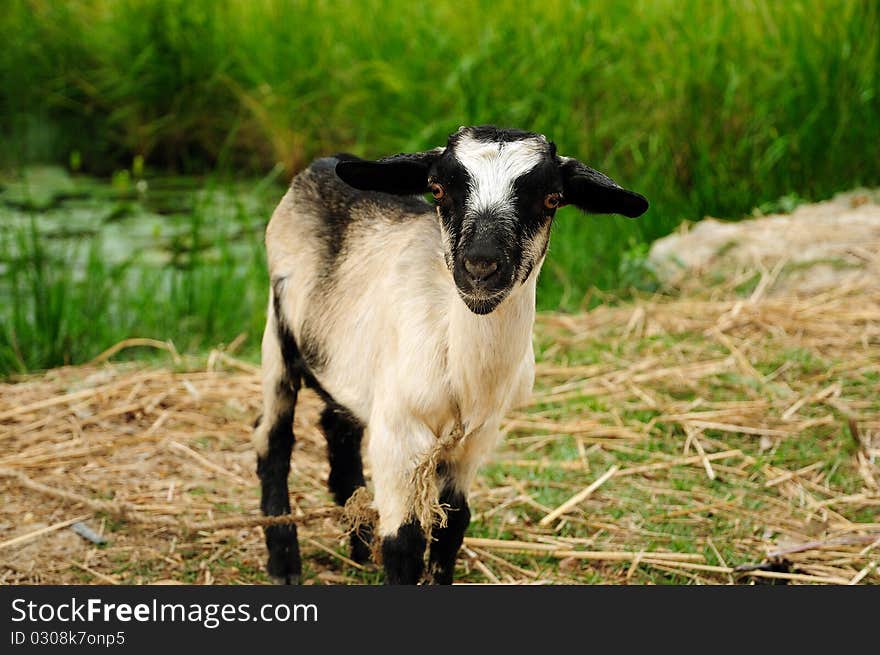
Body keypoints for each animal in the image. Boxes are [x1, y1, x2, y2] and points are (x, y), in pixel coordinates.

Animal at [251, 125, 648, 588]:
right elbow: (403, 541)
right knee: (273, 439)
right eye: (438, 190)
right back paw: (285, 564)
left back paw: (359, 547)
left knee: (337, 428)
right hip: (276, 332)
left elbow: (453, 525)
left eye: (551, 199)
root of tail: (321, 165)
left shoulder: (476, 440)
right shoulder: (396, 436)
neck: (461, 367)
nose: (480, 267)